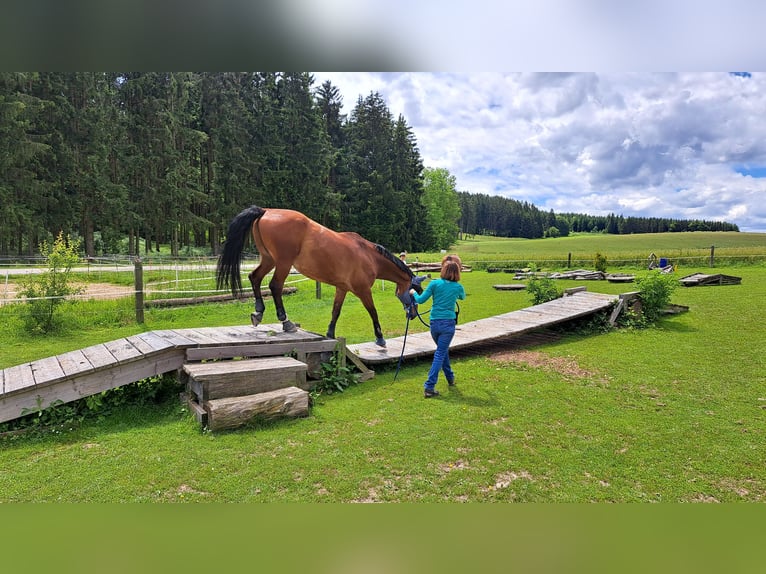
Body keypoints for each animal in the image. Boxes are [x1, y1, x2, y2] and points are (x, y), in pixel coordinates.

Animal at [214, 209, 426, 348]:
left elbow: (335, 312)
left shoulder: (342, 288)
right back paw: (286, 322)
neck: (369, 256)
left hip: (268, 259)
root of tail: (266, 211)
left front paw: (330, 334)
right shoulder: (363, 291)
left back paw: (258, 312)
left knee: (255, 277)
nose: (413, 314)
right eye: (413, 293)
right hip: (283, 263)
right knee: (275, 286)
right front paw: (380, 338)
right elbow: (373, 312)